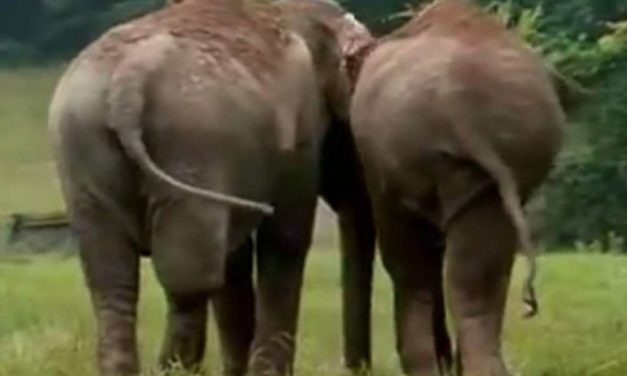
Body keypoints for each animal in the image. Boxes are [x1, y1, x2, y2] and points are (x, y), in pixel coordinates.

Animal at [47, 0, 372, 376]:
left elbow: (237, 258)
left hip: (84, 149)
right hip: (191, 144)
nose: (358, 368)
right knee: (190, 277)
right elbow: (286, 238)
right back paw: (174, 368)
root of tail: (127, 84)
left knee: (112, 280)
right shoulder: (301, 133)